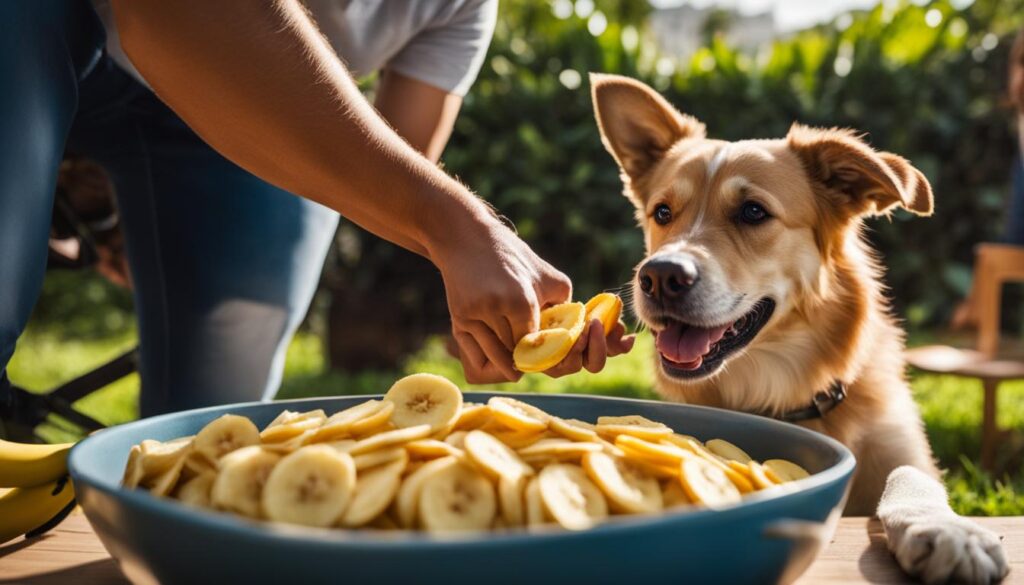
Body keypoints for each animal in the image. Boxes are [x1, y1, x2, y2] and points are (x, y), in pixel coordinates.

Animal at [593, 74, 1007, 585]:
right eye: (663, 213)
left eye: (753, 212)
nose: (659, 276)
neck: (780, 391)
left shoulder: (906, 451)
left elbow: (910, 477)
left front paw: (948, 531)